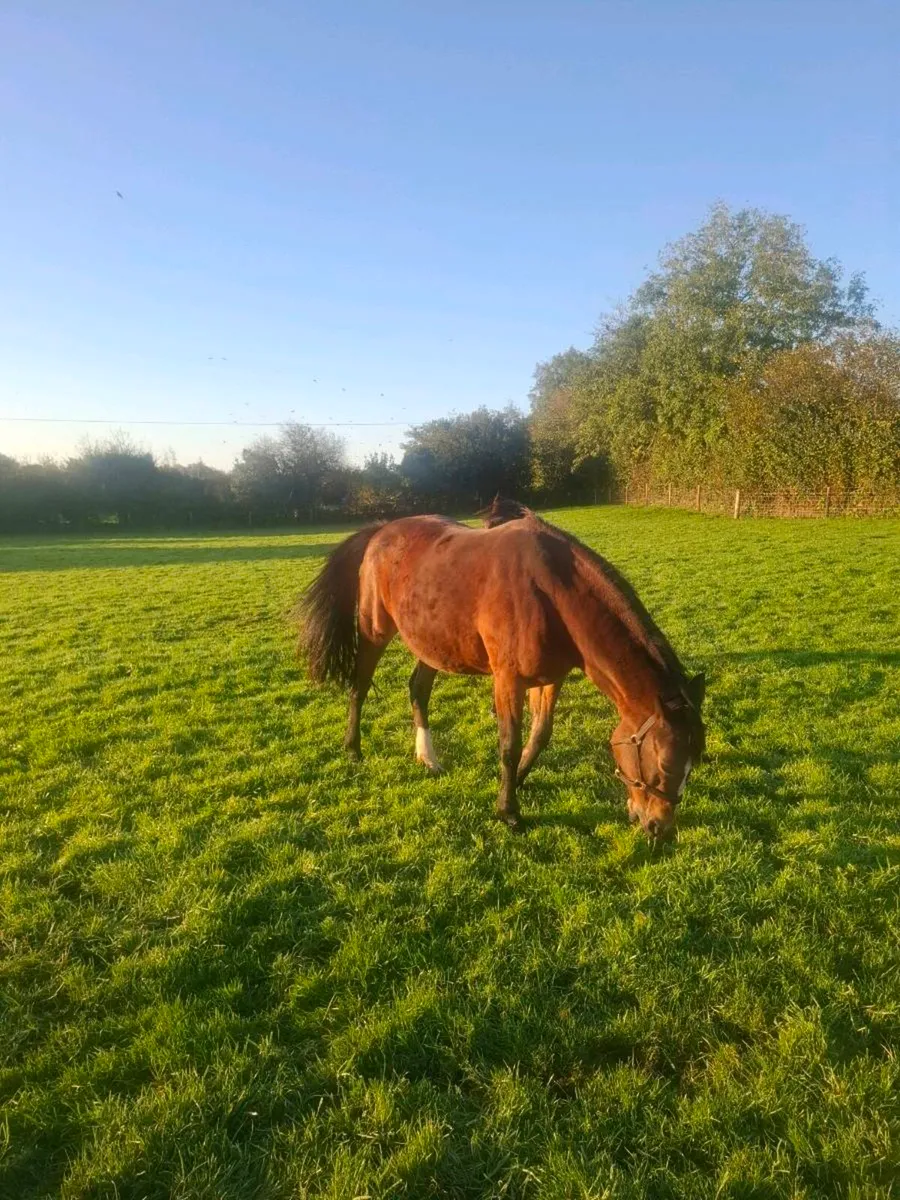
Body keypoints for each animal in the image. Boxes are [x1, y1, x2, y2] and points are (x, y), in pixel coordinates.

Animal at [296, 501, 705, 839]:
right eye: (663, 765)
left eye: (694, 762)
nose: (660, 828)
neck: (550, 591)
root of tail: (381, 531)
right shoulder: (509, 680)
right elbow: (509, 744)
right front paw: (508, 812)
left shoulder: (550, 679)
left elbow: (539, 735)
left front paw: (519, 781)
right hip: (374, 630)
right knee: (360, 686)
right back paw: (353, 749)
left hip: (433, 645)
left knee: (418, 689)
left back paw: (428, 757)